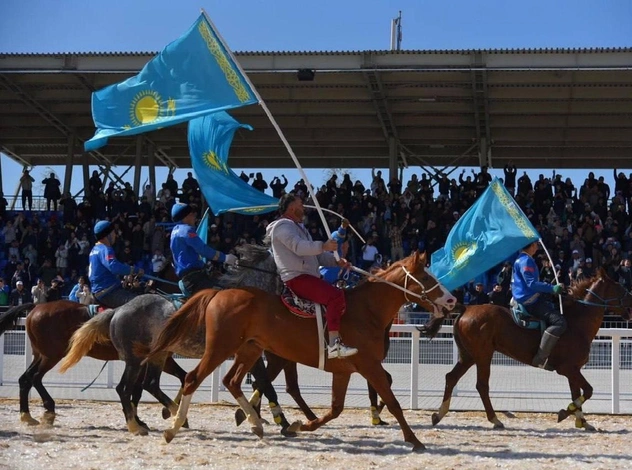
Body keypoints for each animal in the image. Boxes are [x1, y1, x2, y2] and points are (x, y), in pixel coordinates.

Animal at [146, 252, 456, 454]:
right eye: (425, 275)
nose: (452, 300)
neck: (364, 311)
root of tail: (219, 293)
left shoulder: (344, 371)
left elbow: (335, 409)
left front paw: (299, 426)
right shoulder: (369, 366)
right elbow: (392, 402)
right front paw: (414, 439)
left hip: (249, 350)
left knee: (231, 381)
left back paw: (255, 424)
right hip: (220, 348)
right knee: (193, 379)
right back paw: (173, 428)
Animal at [424, 270, 632, 432]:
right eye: (620, 287)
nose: (630, 308)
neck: (577, 324)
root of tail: (467, 308)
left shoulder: (574, 370)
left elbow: (577, 393)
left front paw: (582, 421)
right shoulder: (568, 369)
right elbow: (587, 391)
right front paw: (565, 413)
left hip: (468, 356)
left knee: (451, 377)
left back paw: (439, 415)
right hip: (483, 355)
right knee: (481, 385)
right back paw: (495, 419)